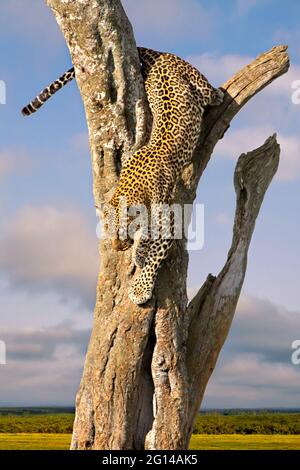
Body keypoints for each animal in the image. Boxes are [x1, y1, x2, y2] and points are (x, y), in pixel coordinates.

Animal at [22, 46, 223, 304]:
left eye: (120, 229)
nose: (117, 247)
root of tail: (159, 54)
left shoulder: (167, 218)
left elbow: (156, 251)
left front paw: (140, 288)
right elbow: (146, 235)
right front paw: (139, 251)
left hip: (194, 79)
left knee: (209, 92)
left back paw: (218, 94)